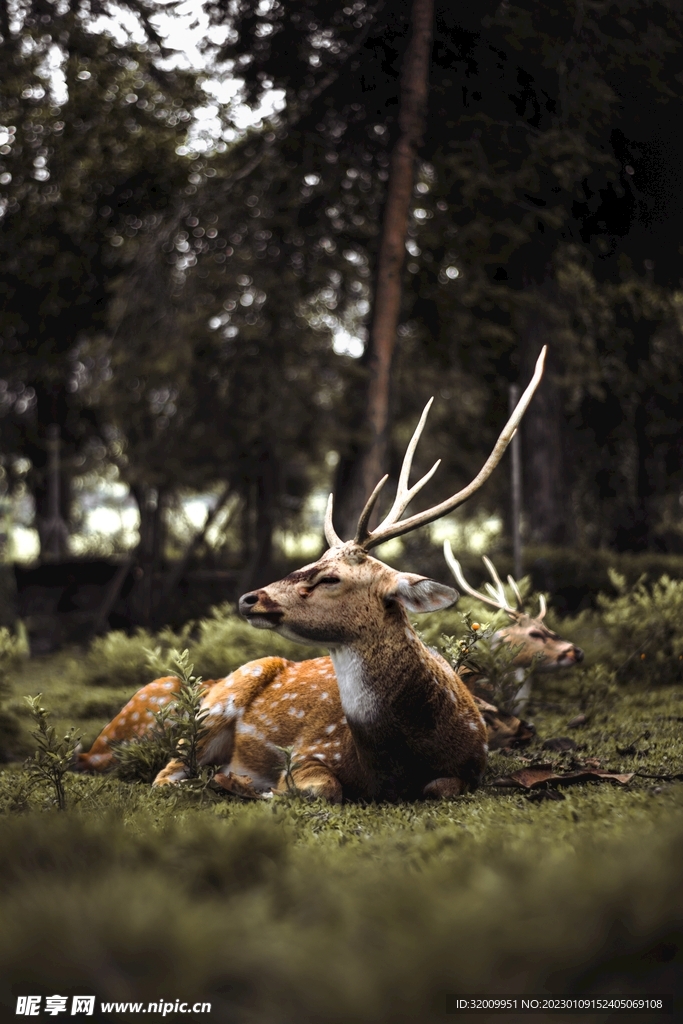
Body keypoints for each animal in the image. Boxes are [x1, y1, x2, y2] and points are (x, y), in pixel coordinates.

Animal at [77, 348, 547, 800]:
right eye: (315, 560)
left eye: (331, 578)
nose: (249, 598)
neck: (396, 760)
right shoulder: (313, 748)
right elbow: (326, 789)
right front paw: (259, 787)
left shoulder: (470, 767)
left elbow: (440, 788)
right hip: (218, 702)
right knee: (167, 774)